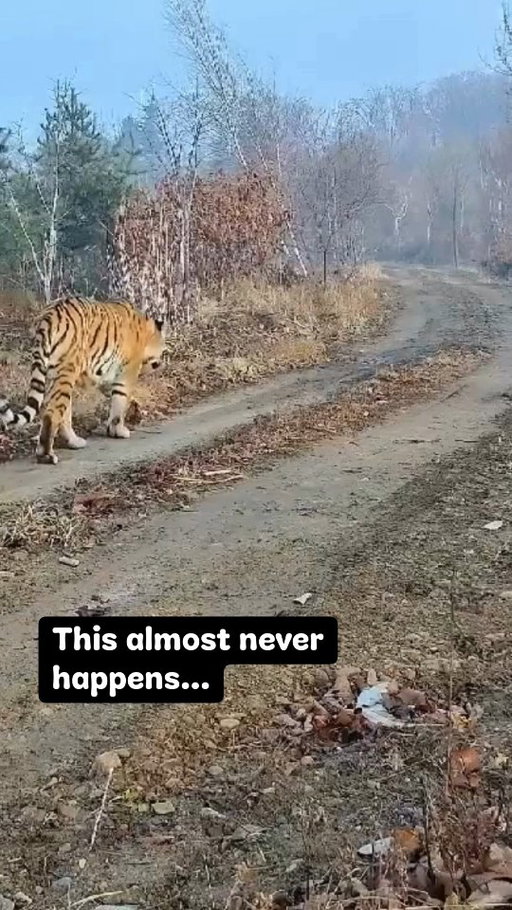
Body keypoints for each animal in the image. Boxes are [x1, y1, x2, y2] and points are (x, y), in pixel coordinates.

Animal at [0, 296, 166, 465]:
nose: (162, 361)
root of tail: (49, 315)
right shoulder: (127, 373)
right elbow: (120, 402)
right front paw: (119, 431)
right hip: (66, 371)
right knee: (52, 414)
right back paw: (46, 455)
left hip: (53, 376)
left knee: (62, 413)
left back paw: (74, 442)